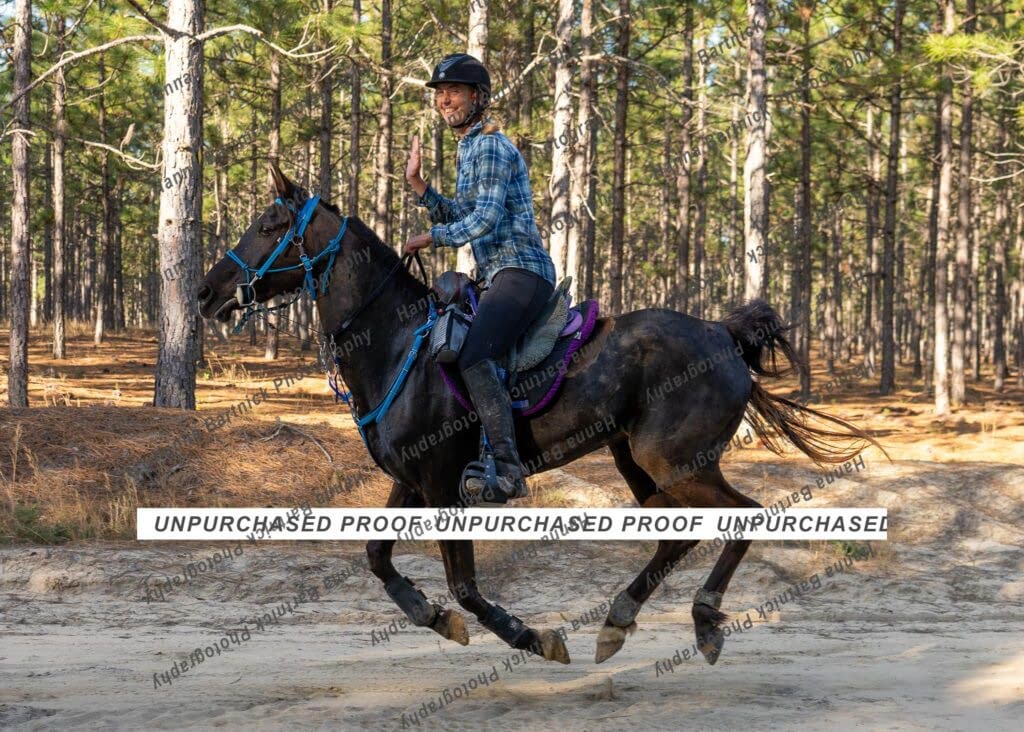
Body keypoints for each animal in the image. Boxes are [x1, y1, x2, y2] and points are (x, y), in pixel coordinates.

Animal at [198, 163, 880, 666]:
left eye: (269, 224)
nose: (207, 292)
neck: (396, 345)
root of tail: (721, 333)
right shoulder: (411, 480)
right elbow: (377, 557)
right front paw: (431, 615)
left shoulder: (444, 487)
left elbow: (466, 587)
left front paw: (533, 637)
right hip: (638, 461)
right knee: (676, 534)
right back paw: (618, 620)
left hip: (679, 462)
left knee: (745, 515)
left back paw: (704, 620)